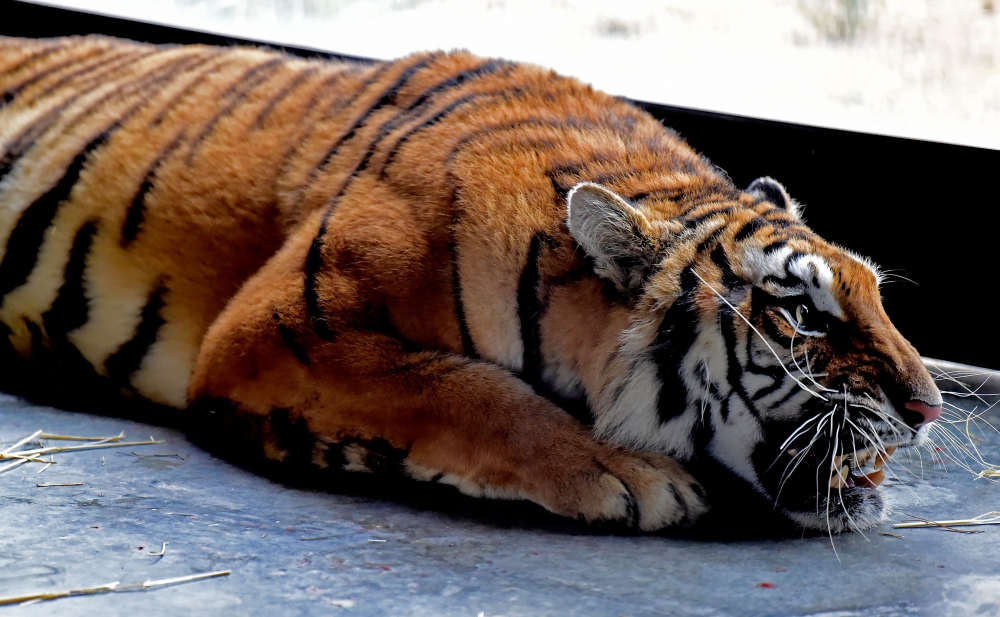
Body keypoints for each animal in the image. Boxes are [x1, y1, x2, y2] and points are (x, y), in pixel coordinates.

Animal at [0, 35, 942, 534]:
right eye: (802, 315)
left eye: (877, 299)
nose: (928, 409)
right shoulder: (283, 324)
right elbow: (466, 388)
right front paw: (631, 475)